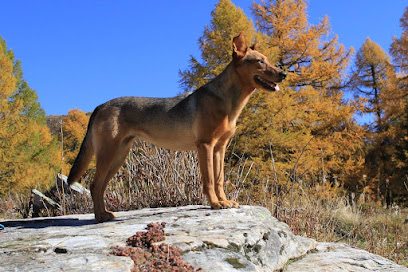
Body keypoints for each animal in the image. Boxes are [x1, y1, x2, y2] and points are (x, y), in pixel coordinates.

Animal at [67, 33, 286, 222]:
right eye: (260, 61)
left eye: (267, 60)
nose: (284, 74)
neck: (227, 101)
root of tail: (100, 106)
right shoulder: (205, 145)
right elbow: (209, 180)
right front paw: (215, 204)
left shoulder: (219, 148)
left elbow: (219, 179)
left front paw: (224, 201)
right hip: (108, 154)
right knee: (94, 185)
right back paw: (100, 217)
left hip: (118, 156)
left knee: (100, 186)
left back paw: (105, 213)